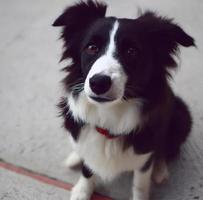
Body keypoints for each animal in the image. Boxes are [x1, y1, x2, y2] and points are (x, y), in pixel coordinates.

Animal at [52, 0, 195, 199]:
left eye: (131, 51)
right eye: (92, 47)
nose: (99, 83)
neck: (109, 119)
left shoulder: (143, 158)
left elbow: (140, 184)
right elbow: (87, 169)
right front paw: (82, 190)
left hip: (182, 116)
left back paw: (160, 170)